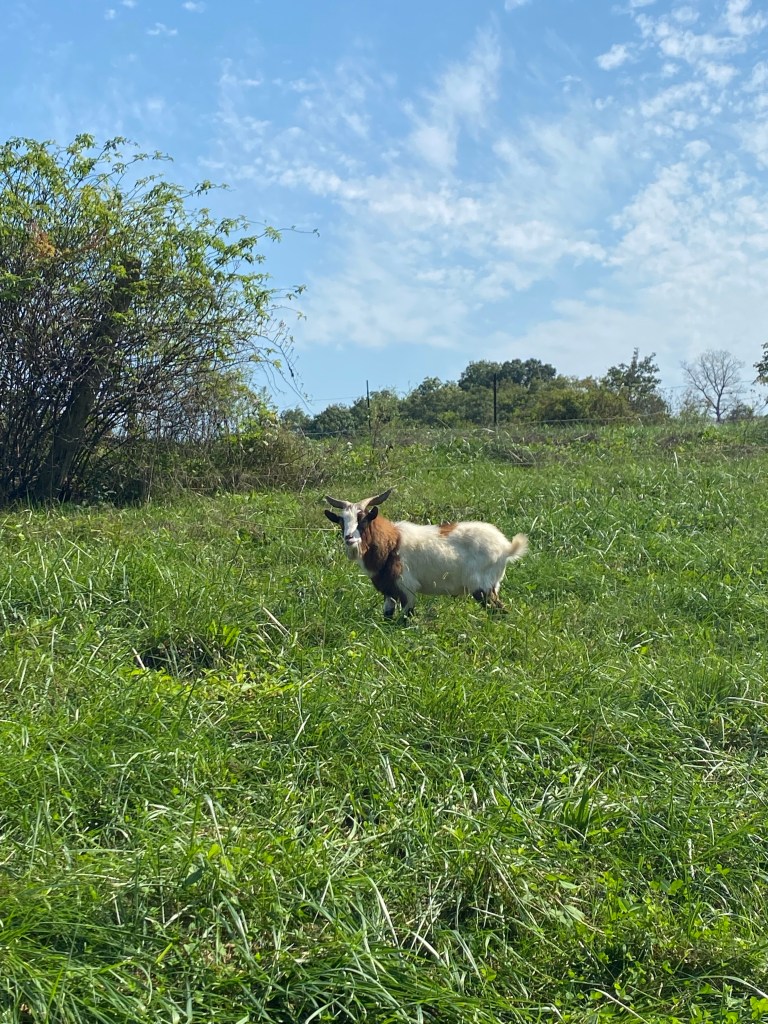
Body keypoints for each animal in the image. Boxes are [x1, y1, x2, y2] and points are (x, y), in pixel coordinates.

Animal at [324, 488, 528, 617]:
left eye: (364, 519)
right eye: (341, 521)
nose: (349, 538)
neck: (392, 544)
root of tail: (505, 547)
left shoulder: (407, 590)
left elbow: (404, 620)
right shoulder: (389, 592)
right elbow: (387, 618)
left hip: (483, 587)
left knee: (500, 612)